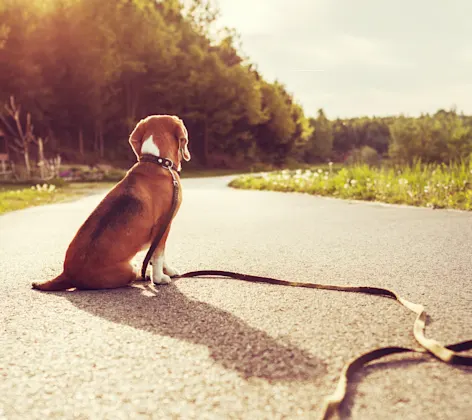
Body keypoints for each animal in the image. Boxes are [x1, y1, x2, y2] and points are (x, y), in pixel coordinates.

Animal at [31, 115, 191, 292]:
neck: (157, 161)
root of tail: (67, 274)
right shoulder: (164, 225)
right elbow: (159, 255)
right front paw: (160, 278)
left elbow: (158, 255)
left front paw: (167, 271)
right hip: (128, 269)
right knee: (135, 272)